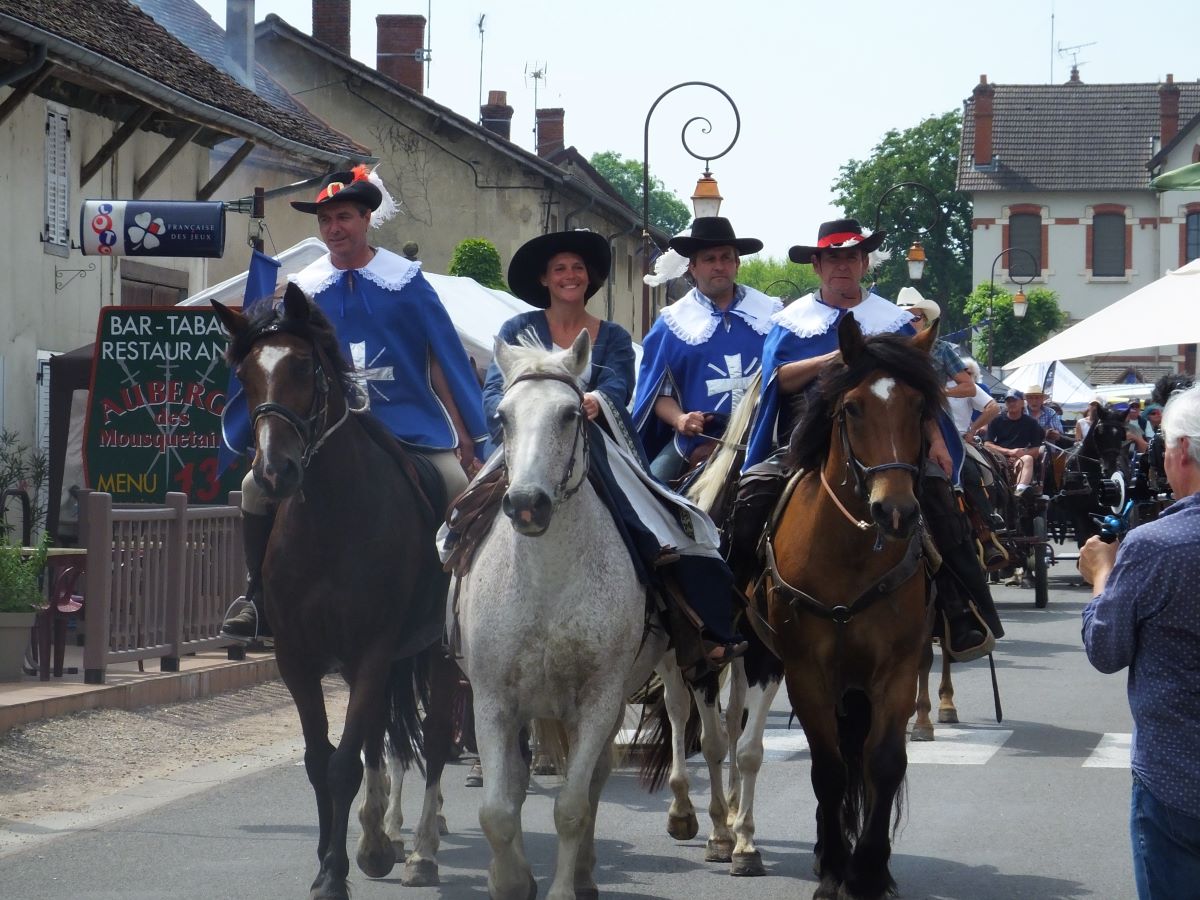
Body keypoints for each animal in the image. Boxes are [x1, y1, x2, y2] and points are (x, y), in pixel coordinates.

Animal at [213, 289, 456, 900]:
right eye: (245, 376)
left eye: (303, 367)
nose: (274, 472)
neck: (330, 520)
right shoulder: (297, 659)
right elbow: (320, 760)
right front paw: (332, 860)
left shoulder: (372, 652)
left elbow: (343, 764)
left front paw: (334, 875)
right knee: (378, 737)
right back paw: (377, 841)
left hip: (439, 656)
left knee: (436, 740)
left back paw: (420, 852)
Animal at [758, 314, 945, 897]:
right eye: (853, 408)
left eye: (919, 407)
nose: (896, 511)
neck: (849, 552)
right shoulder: (805, 671)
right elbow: (828, 769)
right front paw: (837, 871)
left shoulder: (898, 669)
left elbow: (882, 764)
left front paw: (869, 870)